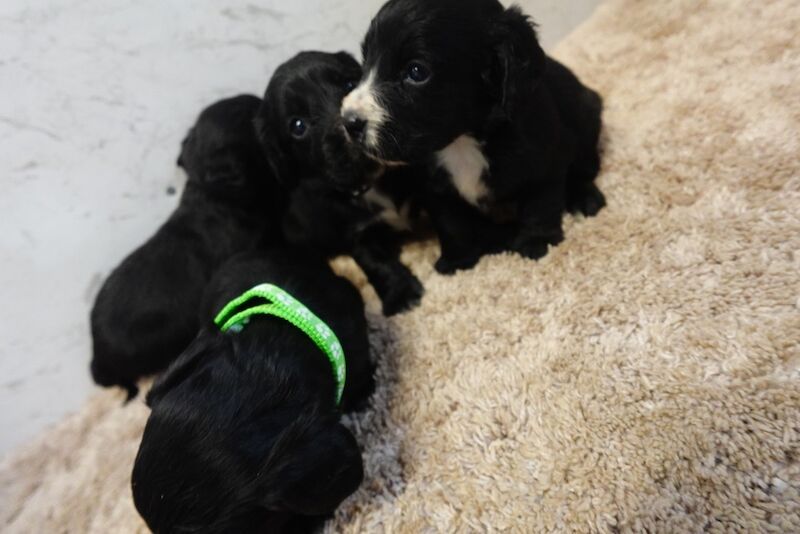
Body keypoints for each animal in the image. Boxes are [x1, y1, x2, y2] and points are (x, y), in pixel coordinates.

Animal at [258, 50, 428, 316]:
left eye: (350, 85)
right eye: (298, 126)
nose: (351, 128)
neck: (372, 184)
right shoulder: (356, 233)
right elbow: (375, 262)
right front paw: (403, 295)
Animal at [340, 0, 604, 274]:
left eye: (416, 72)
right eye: (364, 62)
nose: (349, 122)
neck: (463, 142)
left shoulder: (545, 160)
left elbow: (540, 205)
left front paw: (536, 243)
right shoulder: (434, 185)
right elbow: (451, 222)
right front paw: (458, 261)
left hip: (586, 116)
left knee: (586, 165)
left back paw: (585, 199)